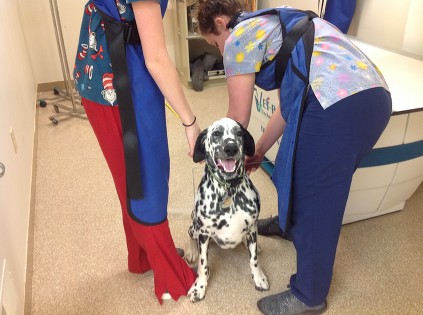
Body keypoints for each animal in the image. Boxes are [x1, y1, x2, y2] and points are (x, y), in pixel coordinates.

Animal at [185, 118, 268, 304]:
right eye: (216, 133)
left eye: (239, 133)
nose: (231, 148)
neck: (228, 189)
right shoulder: (203, 233)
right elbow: (203, 265)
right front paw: (199, 287)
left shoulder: (252, 226)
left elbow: (254, 260)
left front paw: (258, 277)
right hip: (195, 226)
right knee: (190, 234)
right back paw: (191, 251)